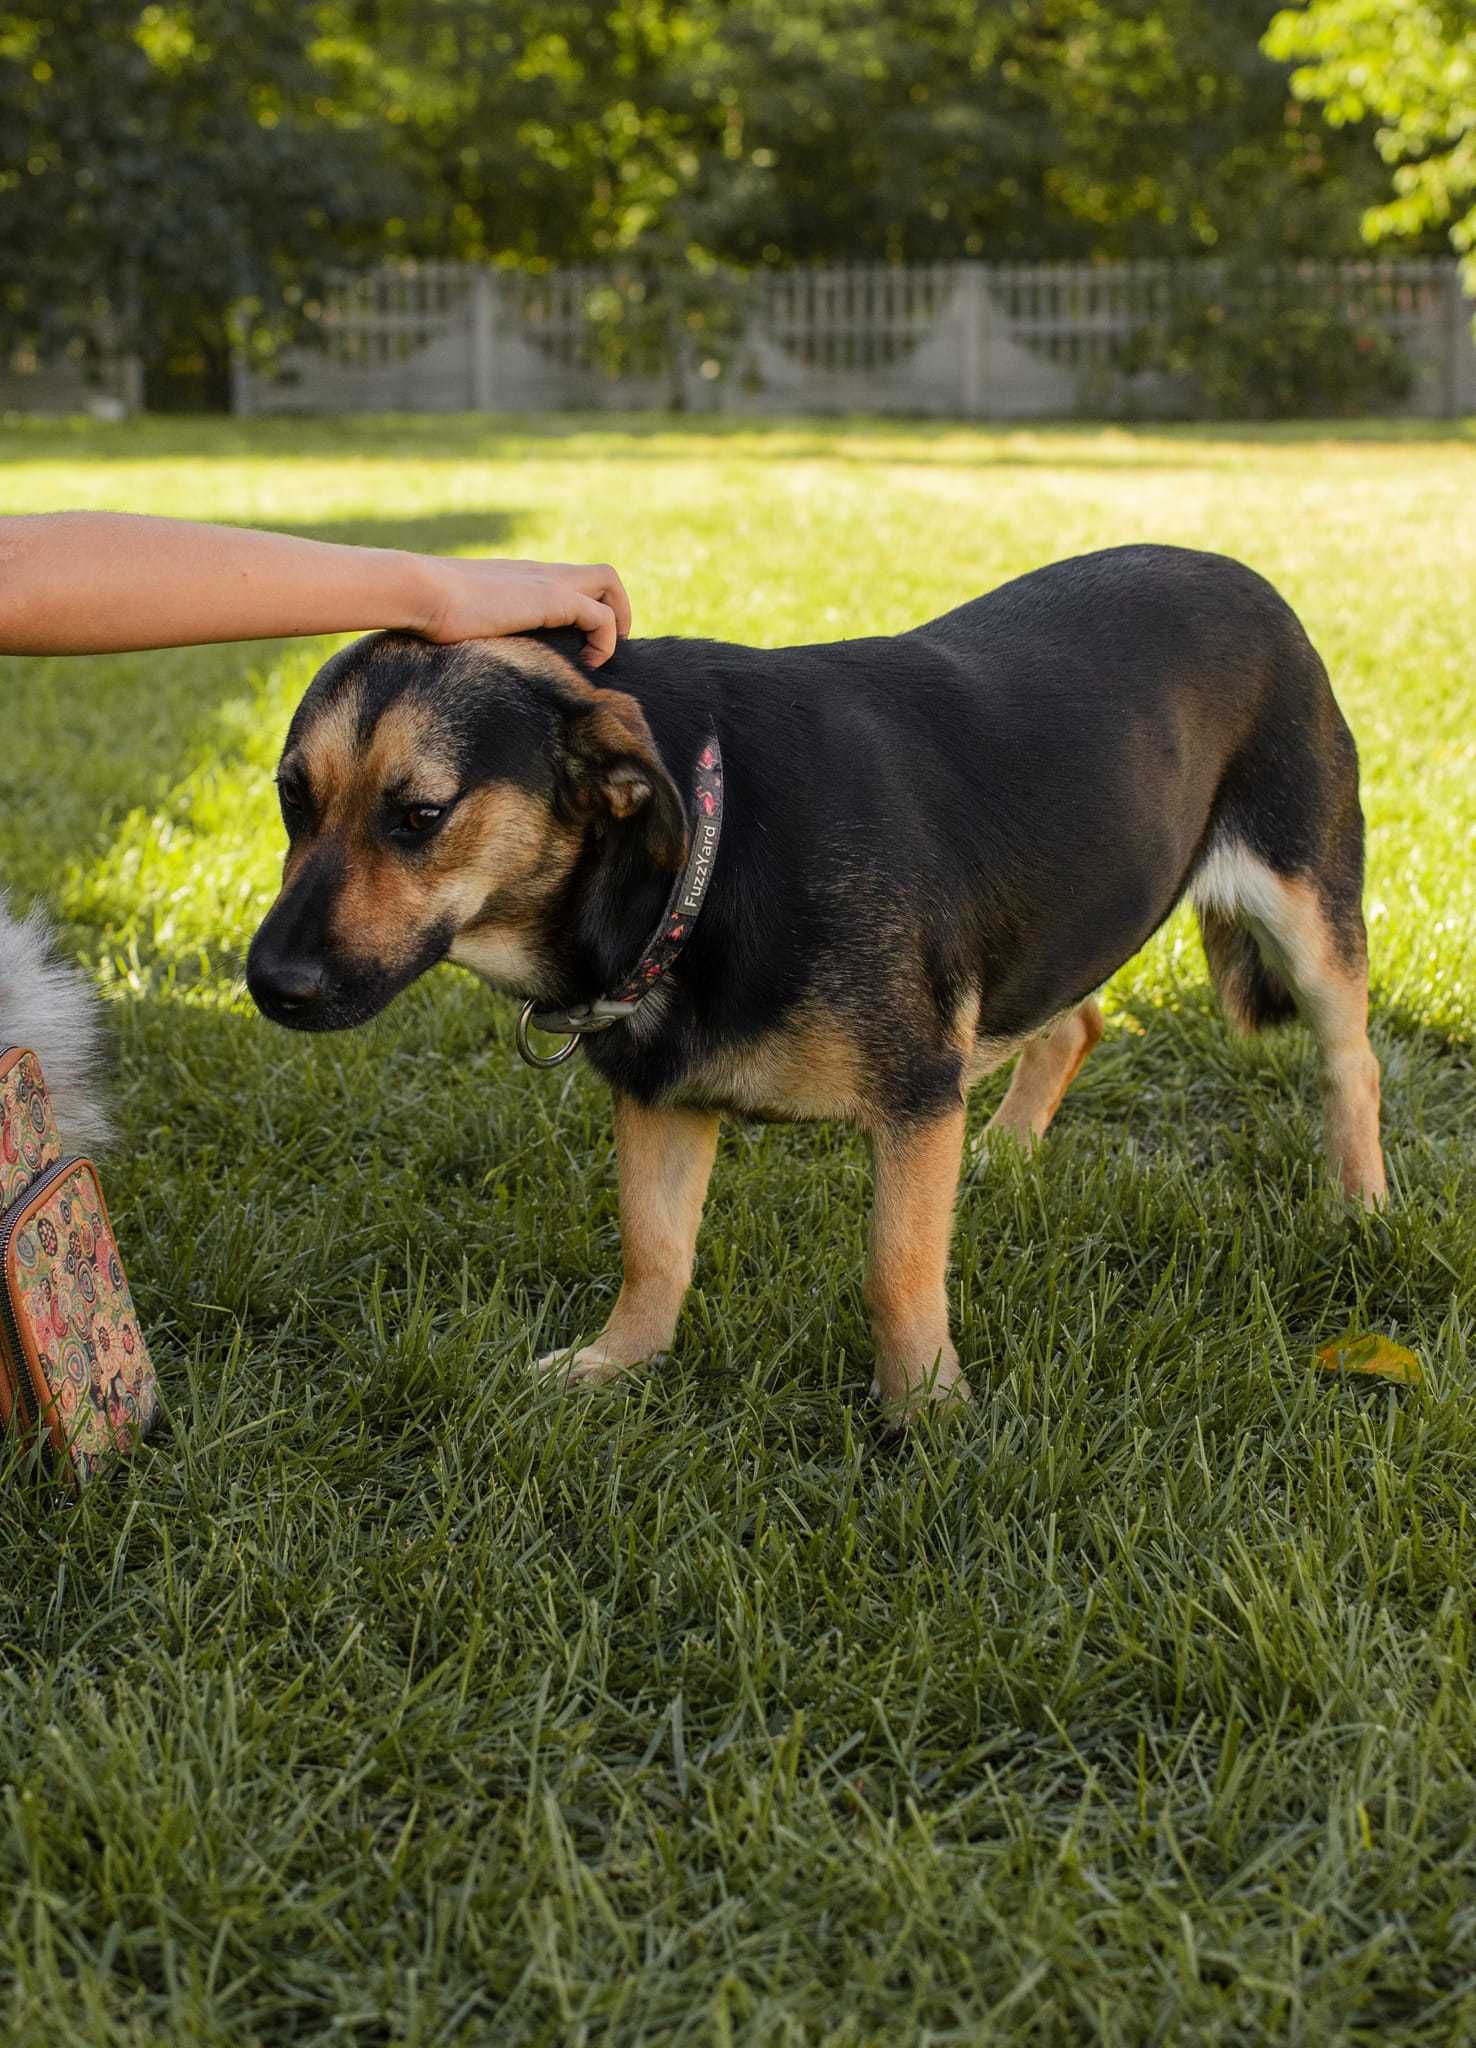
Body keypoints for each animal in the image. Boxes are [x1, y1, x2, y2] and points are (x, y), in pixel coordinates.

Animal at [241, 544, 1383, 1409]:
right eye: (294, 798)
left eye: (420, 815)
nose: (269, 986)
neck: (706, 839)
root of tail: (1239, 572)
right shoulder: (660, 1100)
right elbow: (654, 1251)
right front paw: (621, 1361)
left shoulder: (915, 1095)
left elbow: (895, 1272)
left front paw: (925, 1414)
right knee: (1071, 1022)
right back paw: (1007, 1150)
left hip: (1306, 901)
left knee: (1352, 1062)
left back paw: (1362, 1207)